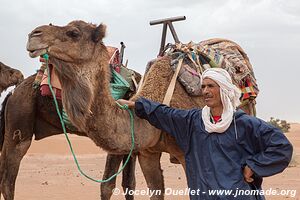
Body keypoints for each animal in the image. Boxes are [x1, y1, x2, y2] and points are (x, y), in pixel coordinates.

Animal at [0, 20, 256, 200]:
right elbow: (131, 187)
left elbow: (118, 185)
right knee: (7, 180)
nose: (34, 34)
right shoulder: (145, 153)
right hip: (18, 127)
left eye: (74, 32)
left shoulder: (184, 154)